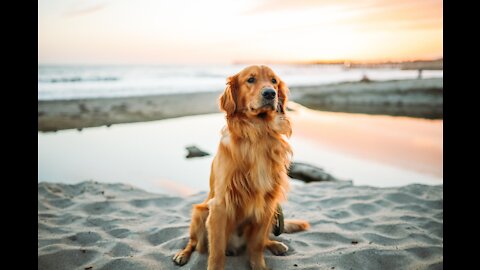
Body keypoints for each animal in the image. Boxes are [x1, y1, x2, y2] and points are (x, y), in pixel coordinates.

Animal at [174, 66, 310, 270]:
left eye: (274, 81)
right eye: (251, 80)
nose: (270, 93)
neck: (258, 132)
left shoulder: (267, 203)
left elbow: (257, 245)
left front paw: (260, 266)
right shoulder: (220, 206)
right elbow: (216, 252)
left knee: (262, 240)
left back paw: (275, 244)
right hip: (200, 212)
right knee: (193, 243)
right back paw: (182, 254)